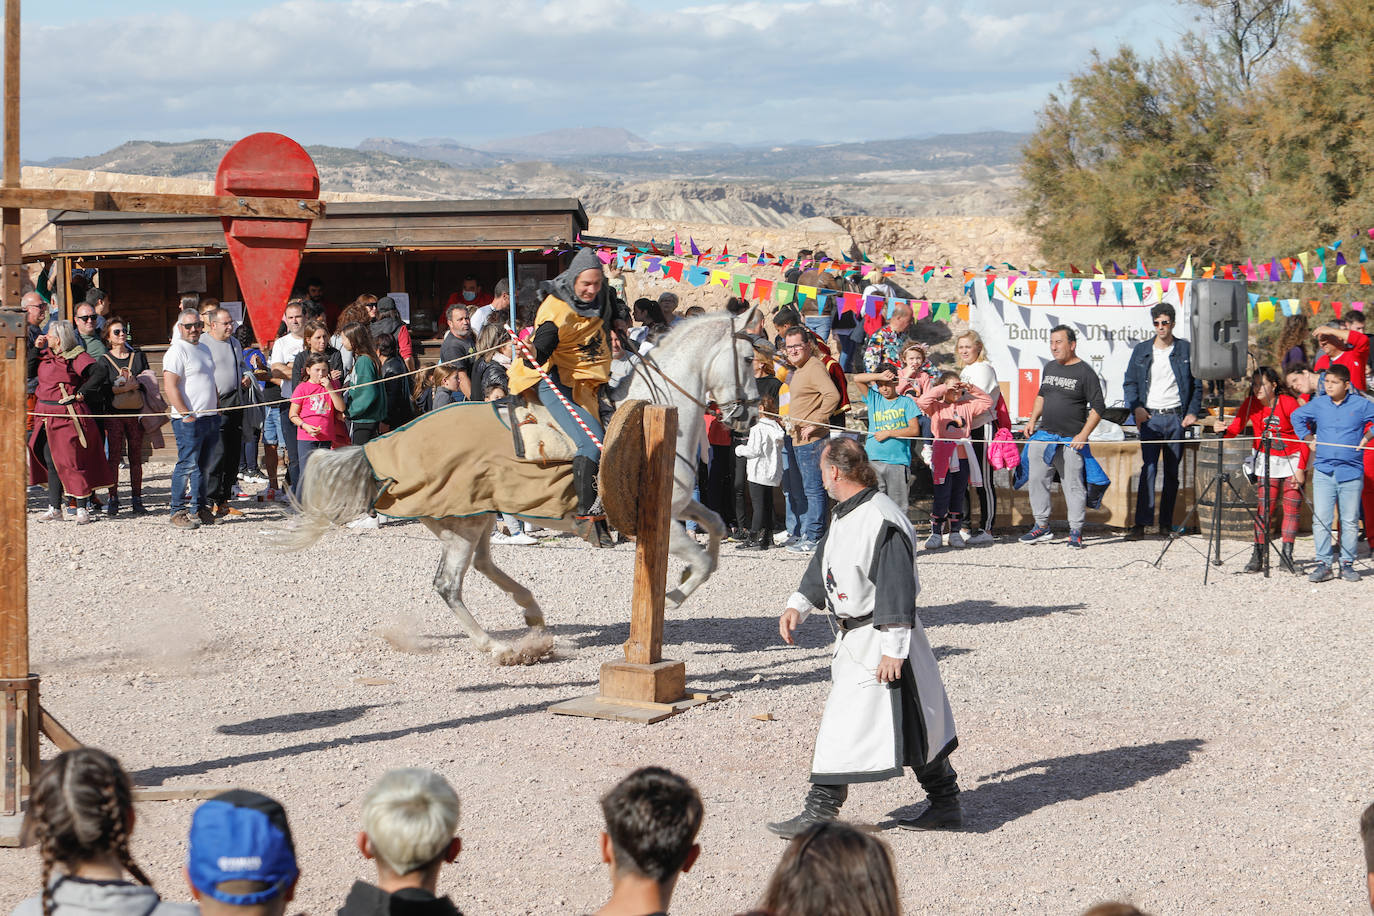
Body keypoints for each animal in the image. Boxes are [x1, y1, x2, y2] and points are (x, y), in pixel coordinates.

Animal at [281, 311, 763, 661]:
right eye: (747, 360)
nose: (751, 416)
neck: (657, 412)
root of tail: (387, 445)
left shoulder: (683, 505)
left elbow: (716, 529)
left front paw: (678, 580)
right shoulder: (659, 517)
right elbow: (702, 561)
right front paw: (673, 594)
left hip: (471, 518)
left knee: (481, 565)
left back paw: (532, 614)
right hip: (462, 522)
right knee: (449, 584)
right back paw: (496, 646)